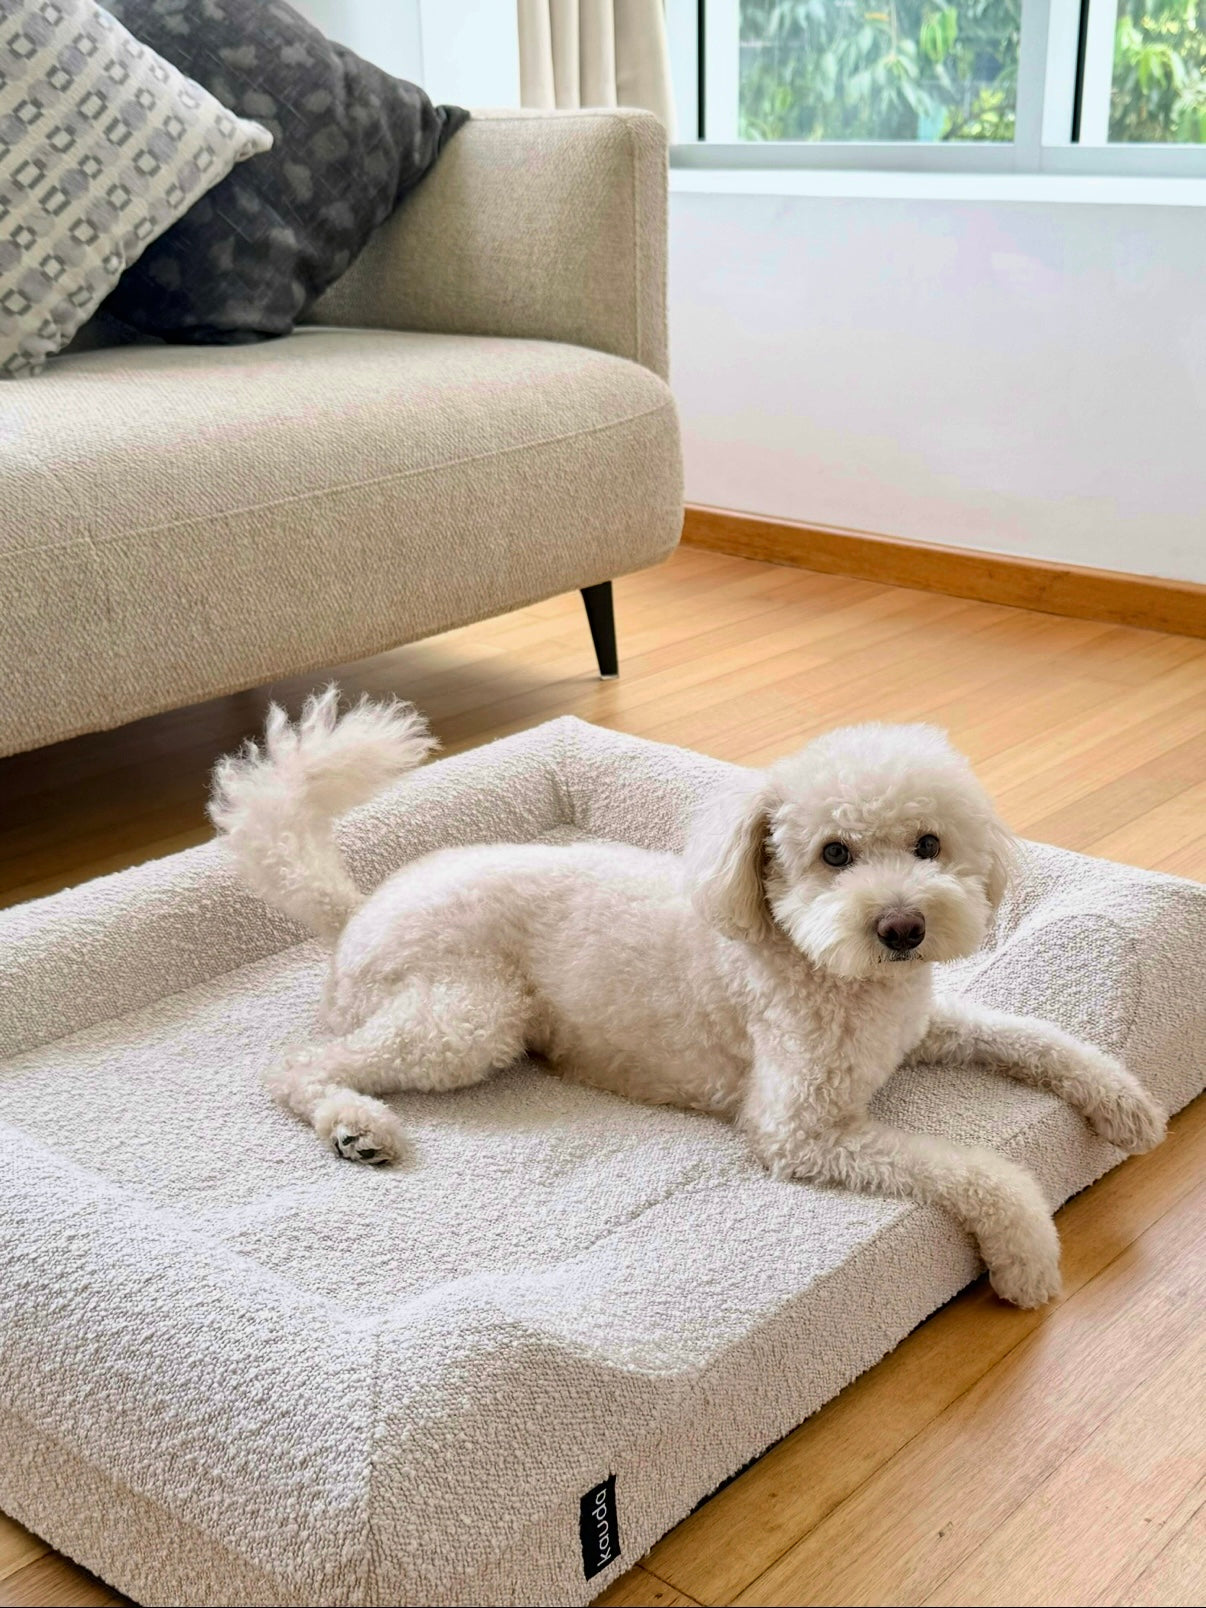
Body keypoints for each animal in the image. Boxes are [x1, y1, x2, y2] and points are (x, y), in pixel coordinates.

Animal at [210, 688, 1166, 1309]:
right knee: (297, 1063)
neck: (835, 976)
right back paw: (355, 1126)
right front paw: (1028, 1259)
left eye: (929, 844)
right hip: (470, 1016)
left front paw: (1126, 1105)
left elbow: (1035, 1033)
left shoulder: (924, 1024)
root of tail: (358, 908)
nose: (902, 929)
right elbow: (980, 1171)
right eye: (834, 854)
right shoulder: (803, 1130)